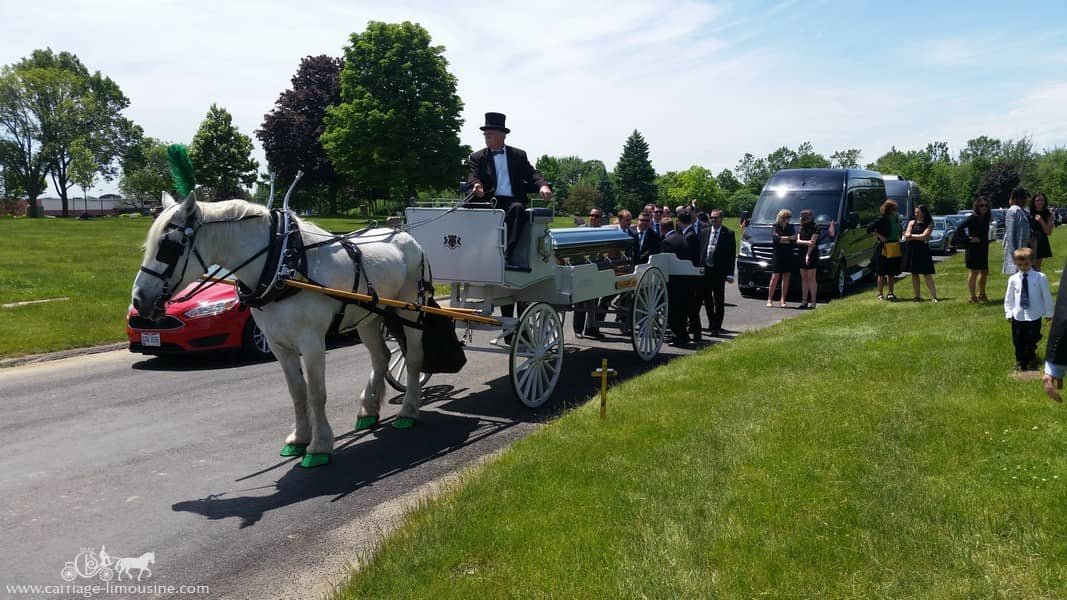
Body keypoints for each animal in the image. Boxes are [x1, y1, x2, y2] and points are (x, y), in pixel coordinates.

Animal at [133, 191, 428, 467]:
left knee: (413, 359)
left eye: (168, 246)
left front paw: (319, 446)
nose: (138, 300)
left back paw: (408, 411)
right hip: (367, 318)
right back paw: (368, 409)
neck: (284, 266)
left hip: (409, 311)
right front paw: (299, 439)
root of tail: (406, 236)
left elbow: (316, 392)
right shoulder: (278, 344)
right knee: (381, 357)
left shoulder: (312, 341)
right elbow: (297, 391)